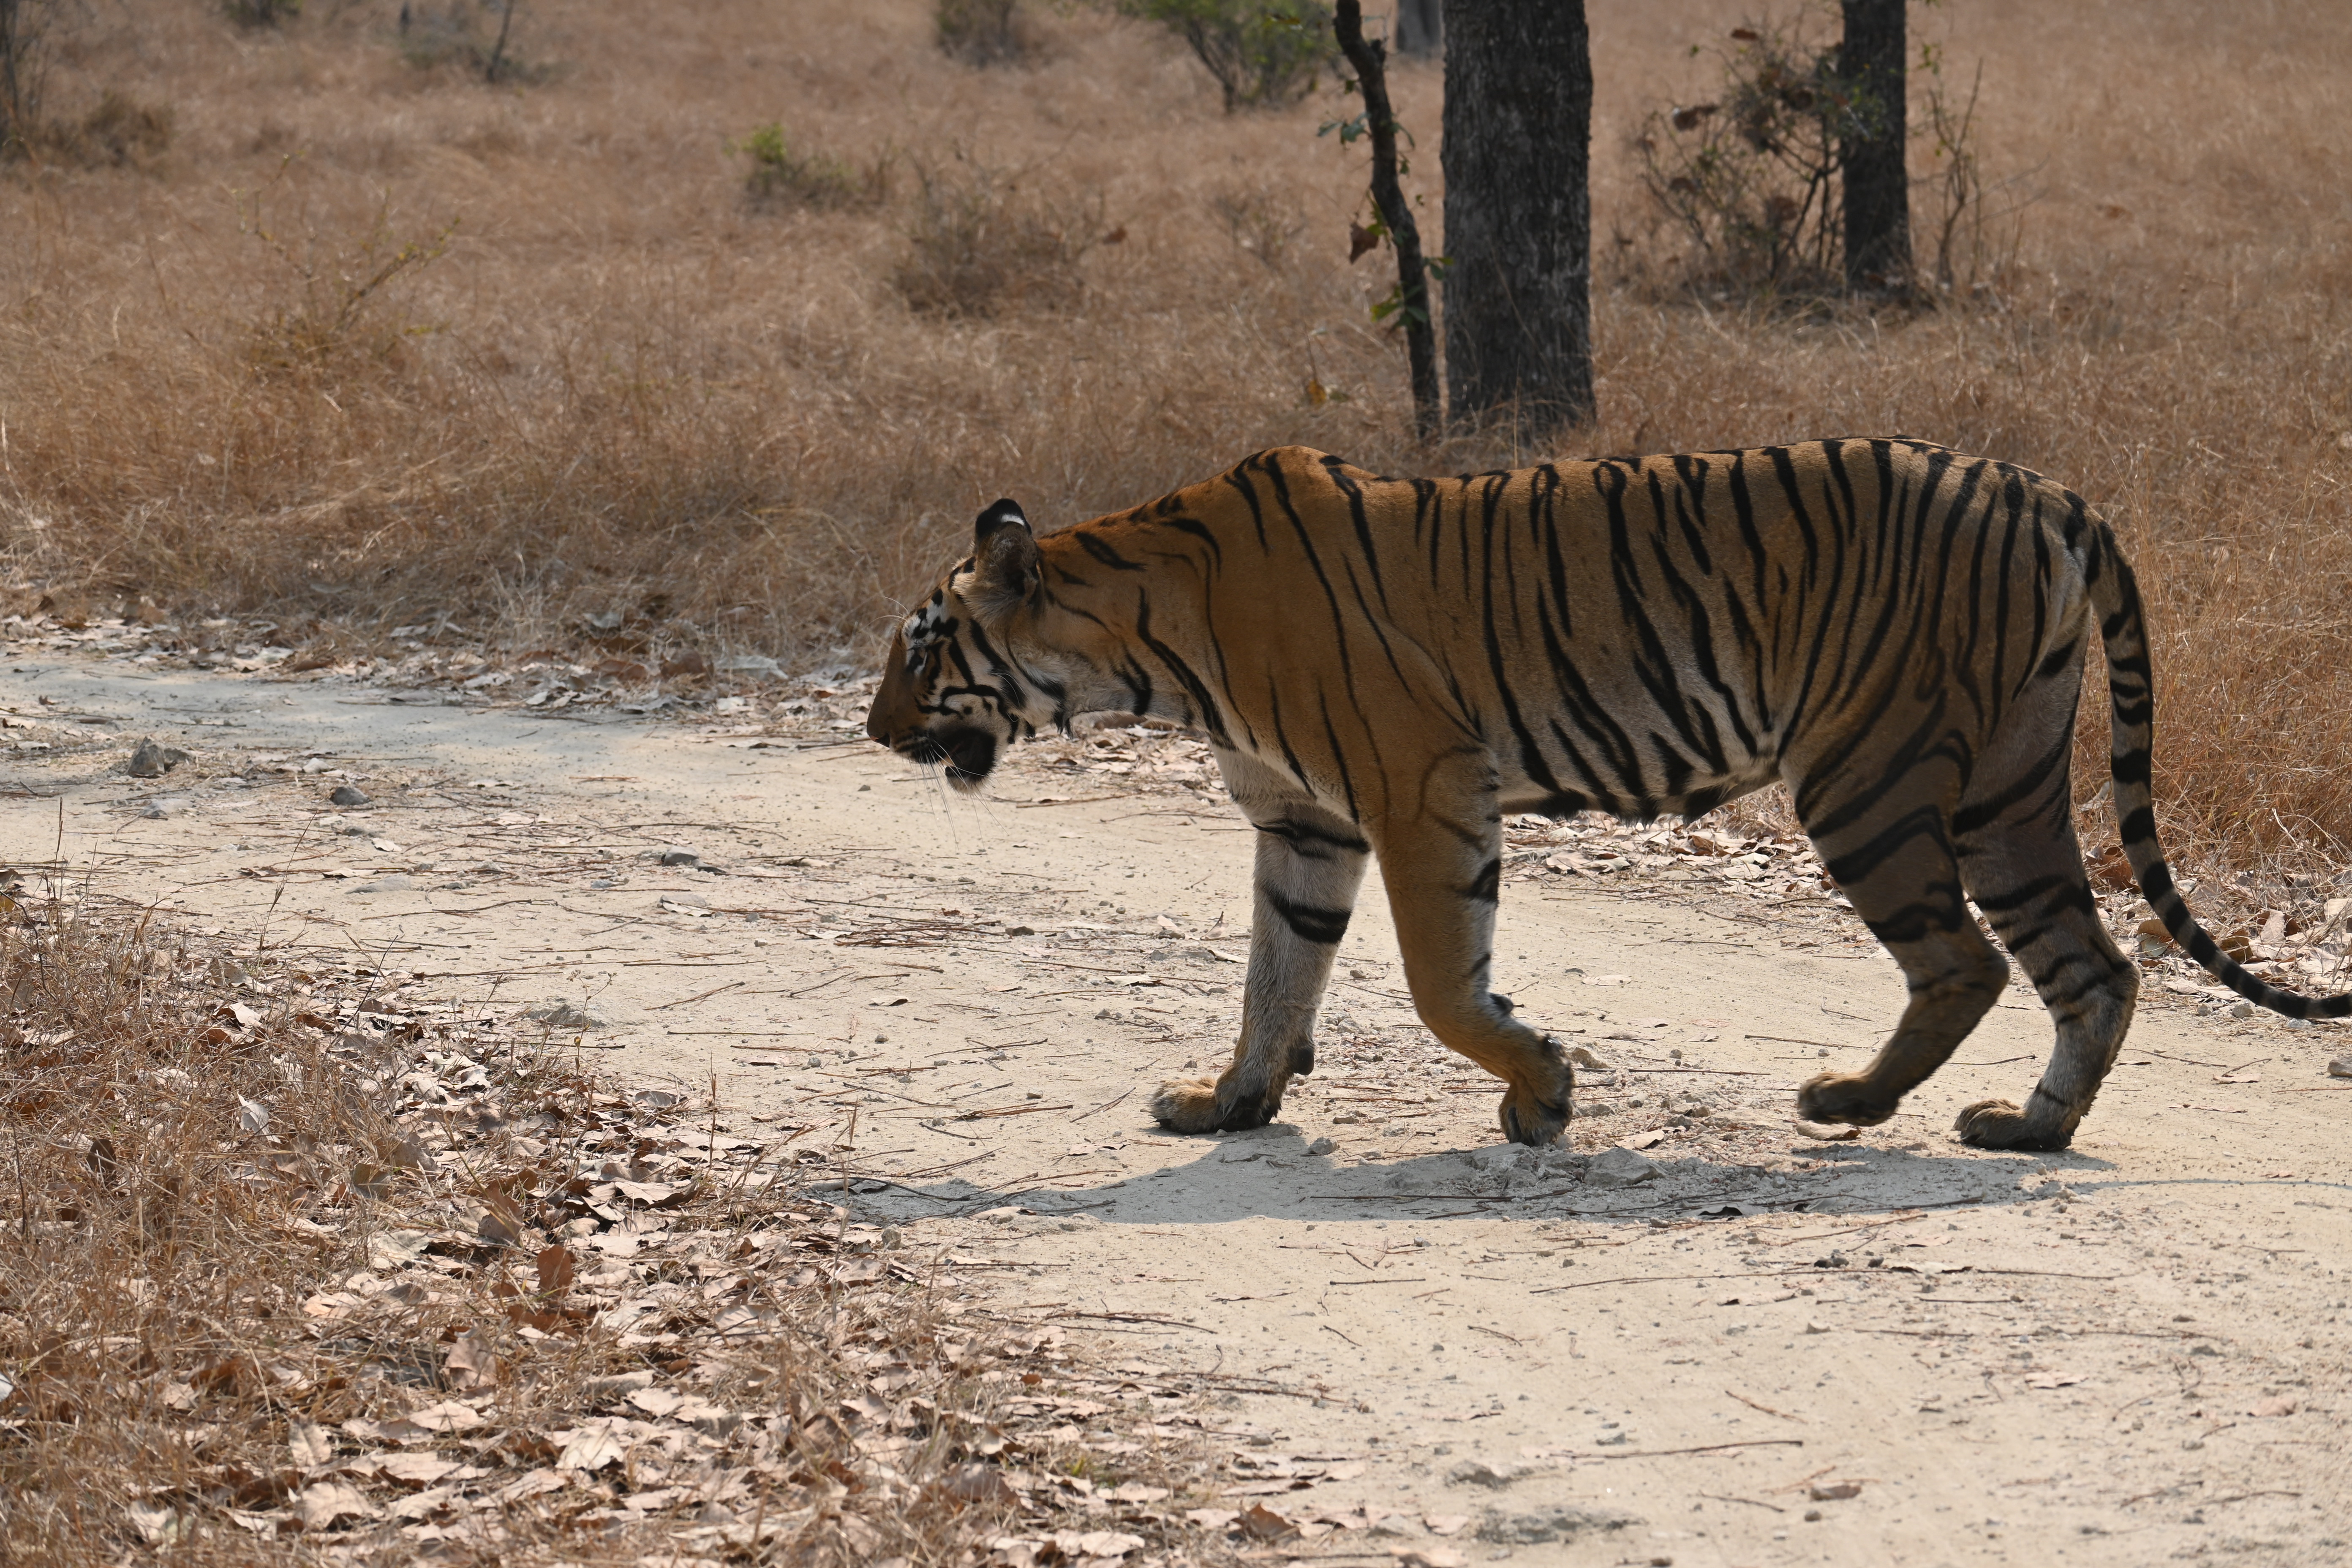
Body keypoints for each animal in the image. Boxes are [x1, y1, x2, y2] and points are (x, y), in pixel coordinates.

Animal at [863, 439, 2350, 1152]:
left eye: (922, 650)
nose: (871, 730)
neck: (1142, 645)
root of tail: (2041, 486)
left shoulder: (1420, 789)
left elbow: (1440, 985)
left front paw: (1542, 1096)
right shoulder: (1305, 825)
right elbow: (1274, 976)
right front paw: (1228, 1101)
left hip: (1866, 772)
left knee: (1970, 964)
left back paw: (1848, 1104)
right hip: (2007, 785)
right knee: (2092, 964)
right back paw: (2025, 1130)